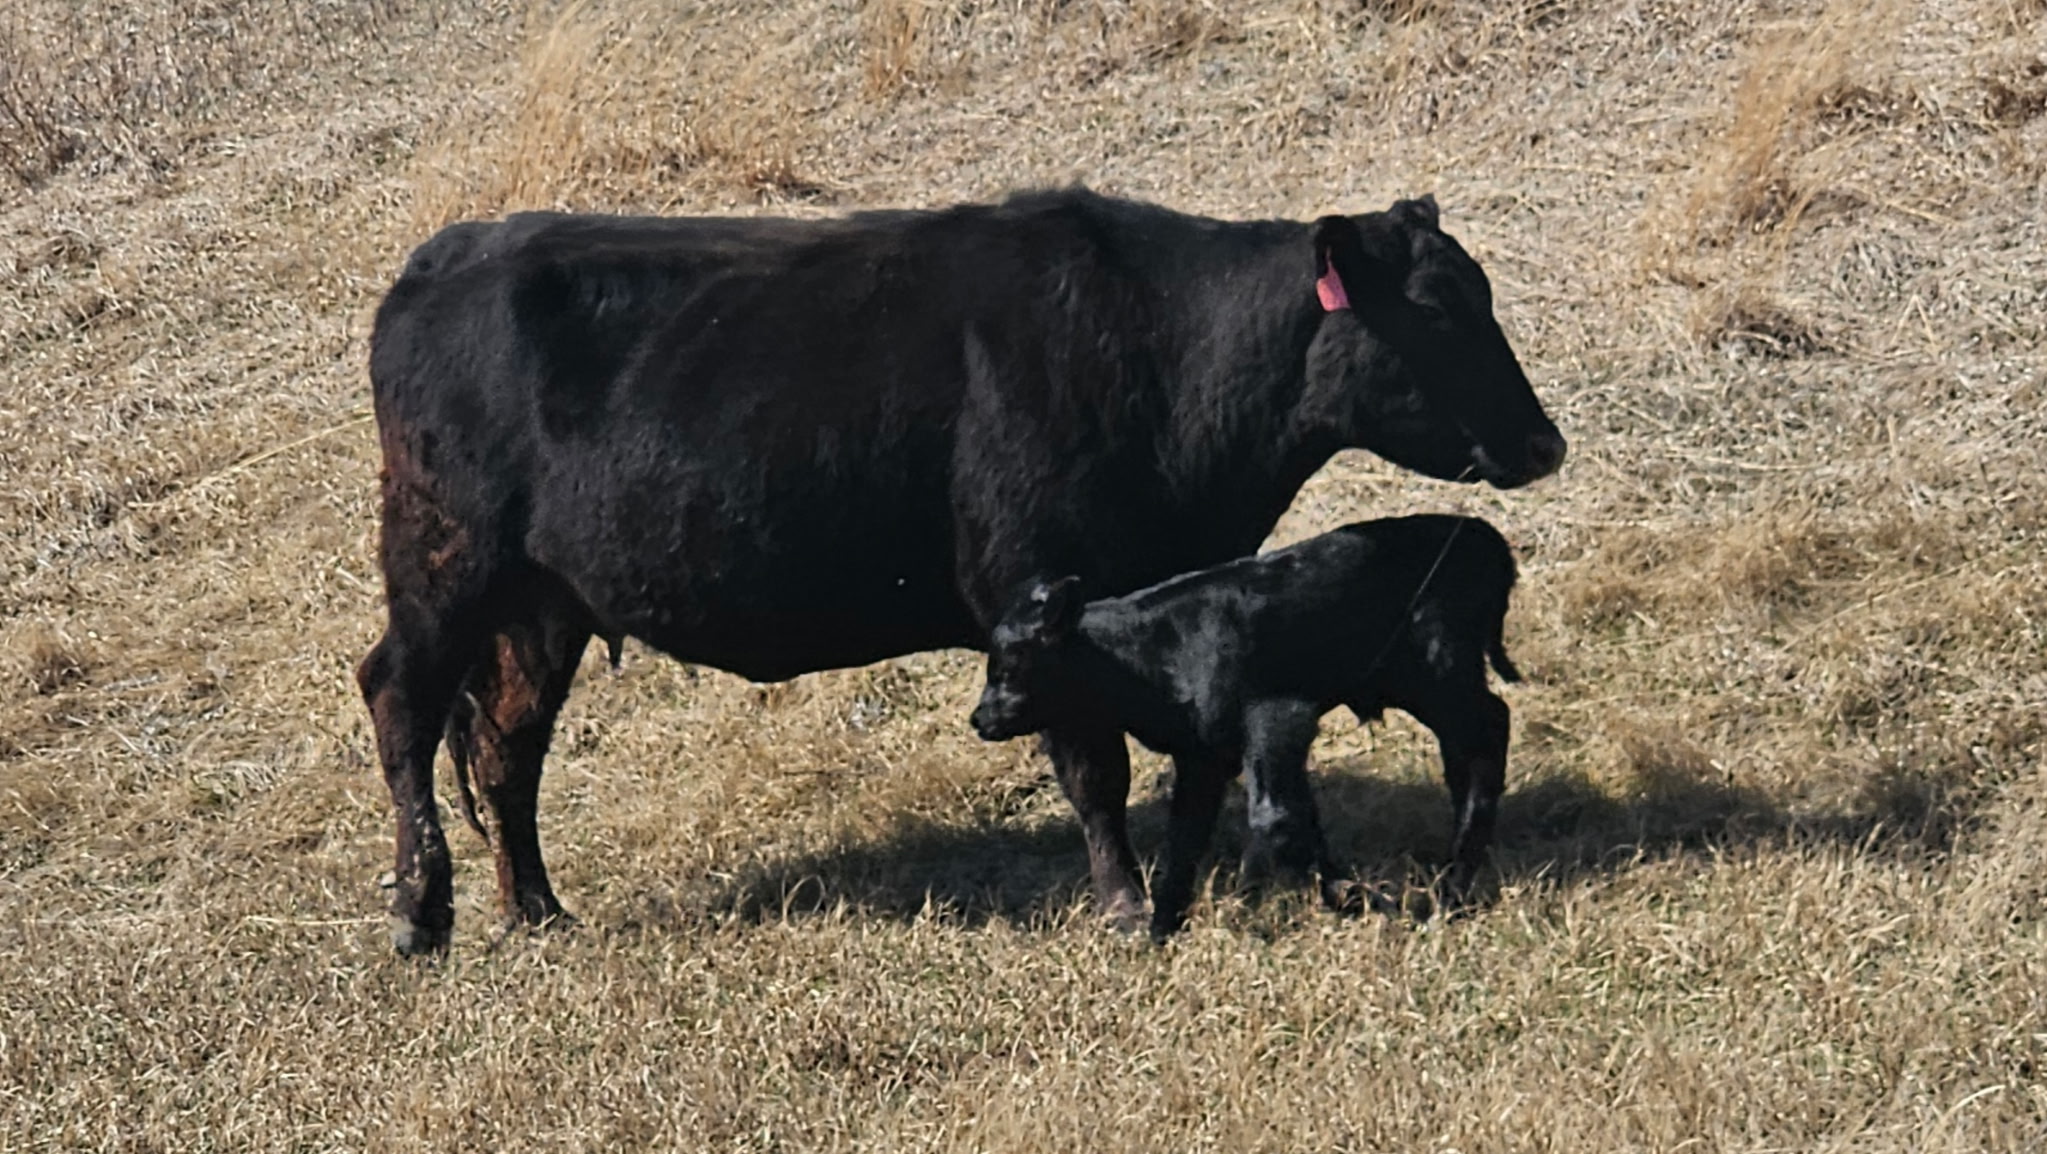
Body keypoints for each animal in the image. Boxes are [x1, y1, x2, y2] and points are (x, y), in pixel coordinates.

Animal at [968, 514, 1523, 940]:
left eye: (1011, 667)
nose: (981, 719)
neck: (1150, 651)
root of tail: (1482, 534)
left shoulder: (1277, 717)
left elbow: (1273, 815)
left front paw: (1365, 900)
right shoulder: (1203, 755)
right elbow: (1189, 837)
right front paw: (1160, 931)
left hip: (1438, 670)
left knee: (1488, 729)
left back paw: (1452, 889)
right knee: (1469, 742)